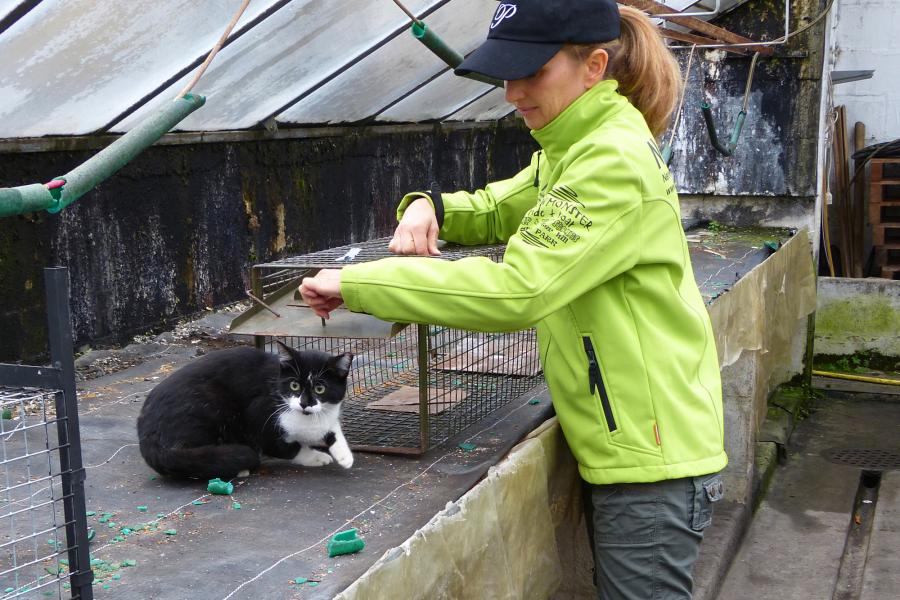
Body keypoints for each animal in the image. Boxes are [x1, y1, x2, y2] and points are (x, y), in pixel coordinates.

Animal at [137, 342, 356, 478]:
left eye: (320, 389)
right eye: (294, 385)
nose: (304, 403)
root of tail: (147, 436)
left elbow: (332, 427)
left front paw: (344, 455)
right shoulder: (260, 415)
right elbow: (286, 448)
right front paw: (316, 457)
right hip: (210, 406)